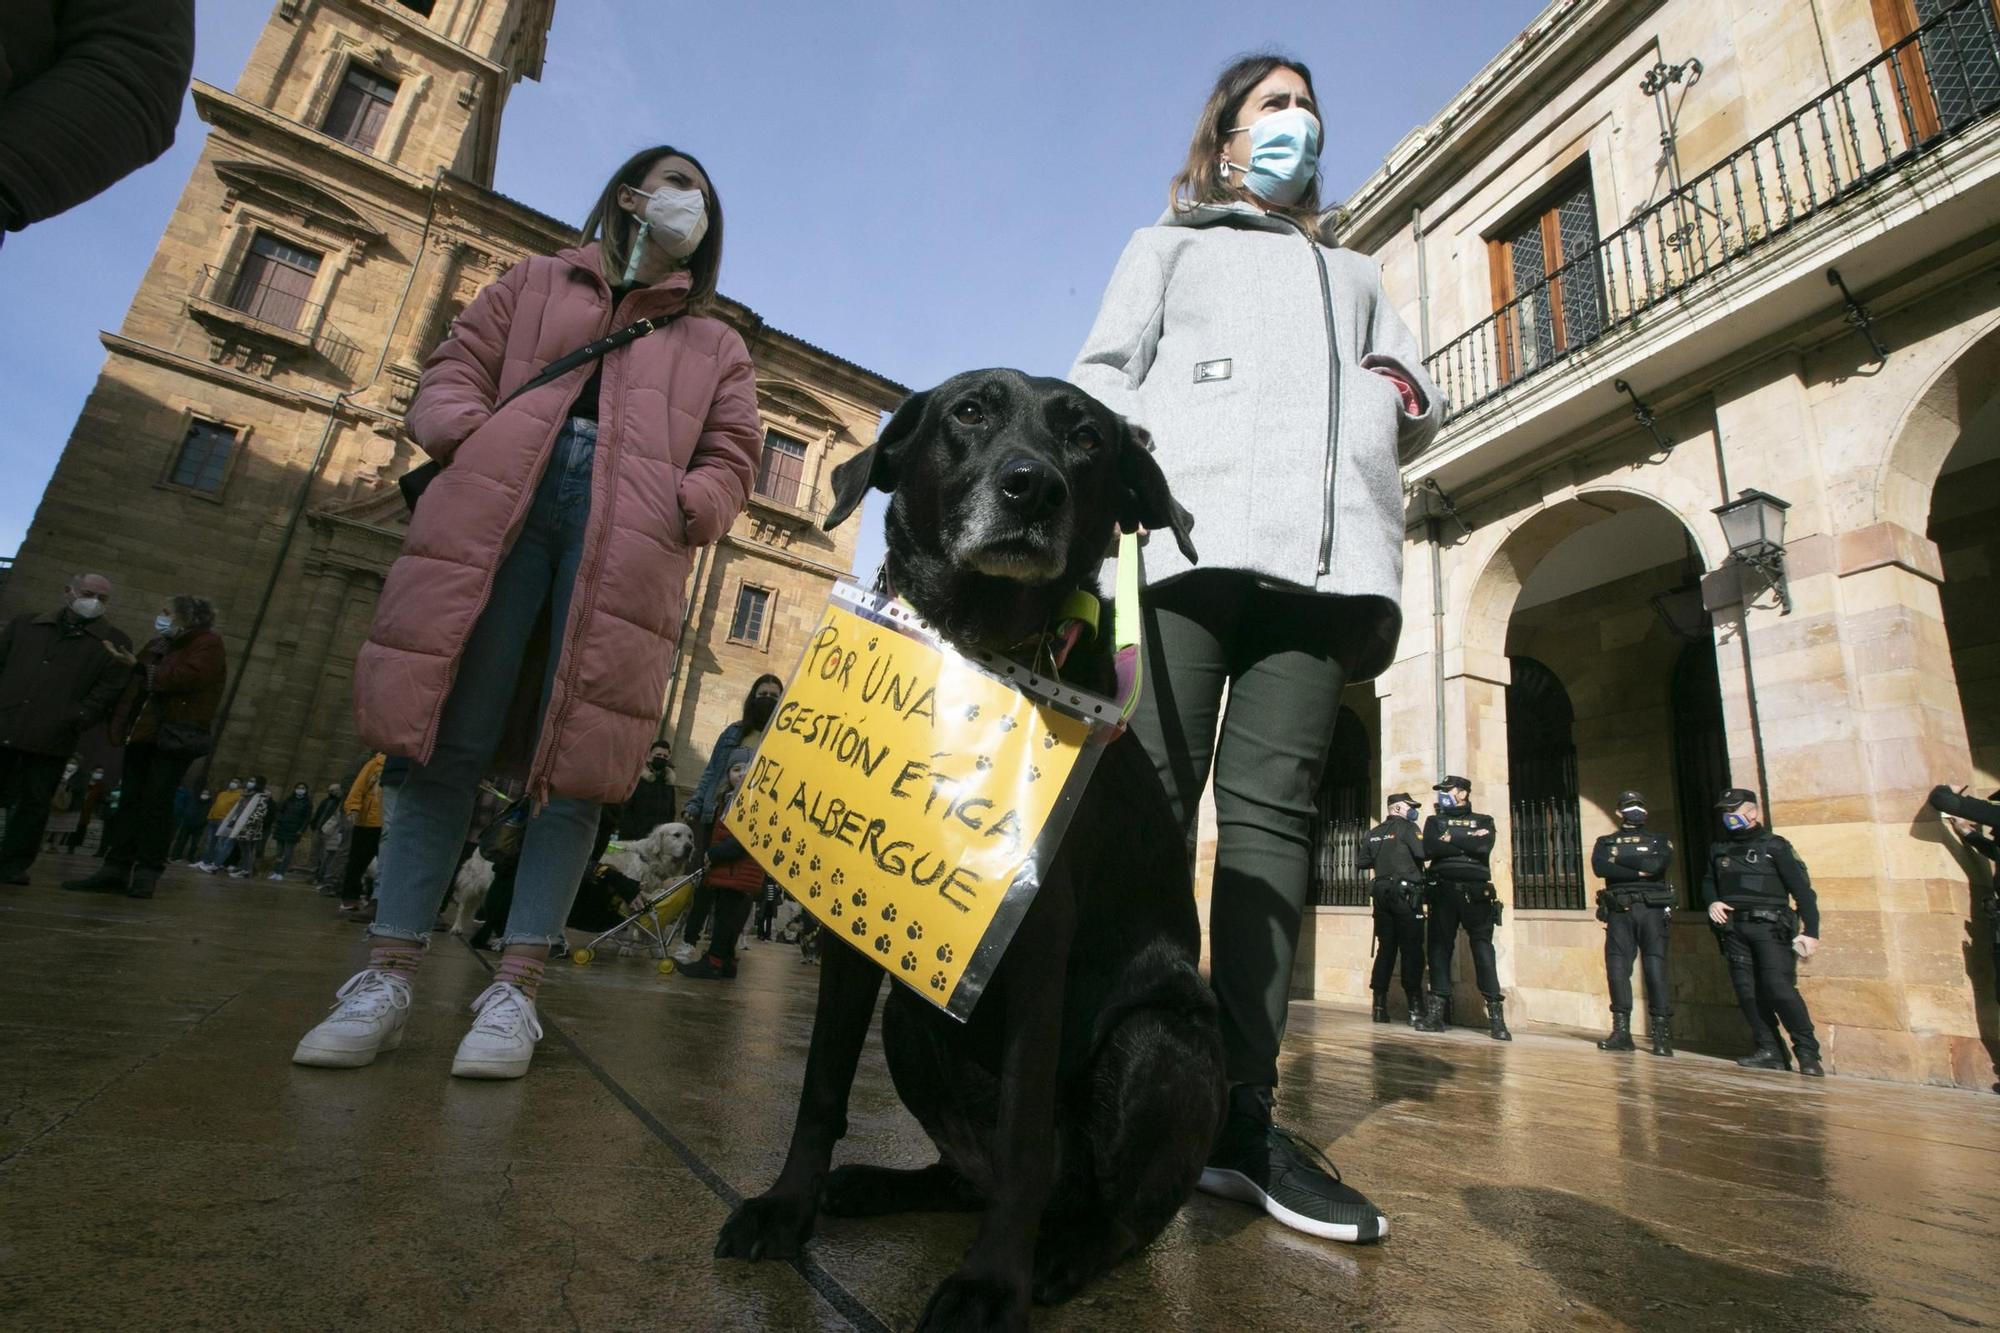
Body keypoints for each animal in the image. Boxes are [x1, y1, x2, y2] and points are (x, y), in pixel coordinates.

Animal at [712, 368, 1224, 1320]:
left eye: (1088, 439)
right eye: (970, 411)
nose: (1033, 487)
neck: (979, 645)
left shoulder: (1035, 942)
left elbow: (1024, 1133)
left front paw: (992, 1281)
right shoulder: (850, 935)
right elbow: (820, 1086)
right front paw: (788, 1207)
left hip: (1159, 1040)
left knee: (1116, 1217)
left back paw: (1058, 1252)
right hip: (912, 1019)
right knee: (962, 1177)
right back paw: (871, 1184)